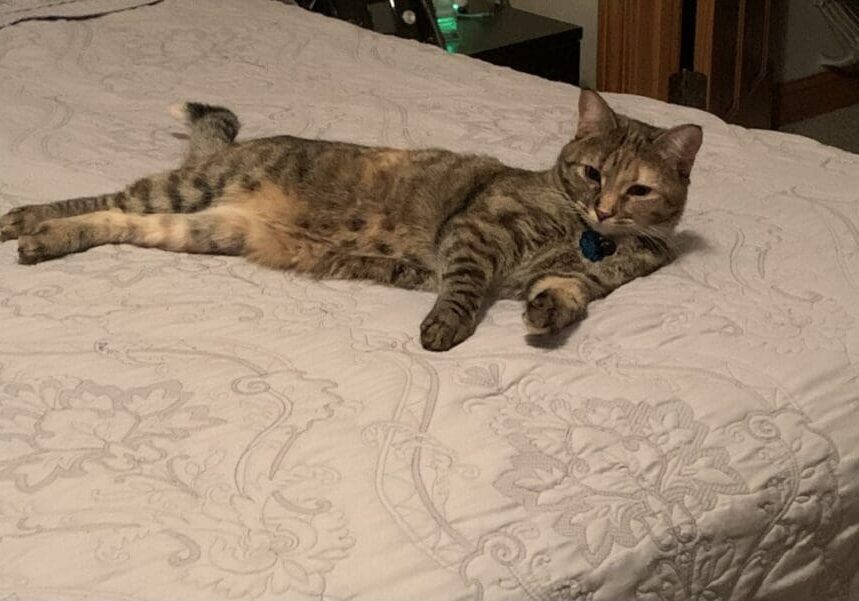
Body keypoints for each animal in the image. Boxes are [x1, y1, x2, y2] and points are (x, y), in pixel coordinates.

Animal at [0, 89, 700, 352]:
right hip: (183, 190)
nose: (604, 208)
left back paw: (44, 242)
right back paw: (26, 219)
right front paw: (445, 327)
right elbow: (464, 288)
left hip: (203, 228)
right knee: (101, 198)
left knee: (113, 220)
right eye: (591, 174)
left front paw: (544, 316)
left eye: (637, 189)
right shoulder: (476, 233)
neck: (582, 238)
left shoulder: (579, 281)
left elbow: (564, 295)